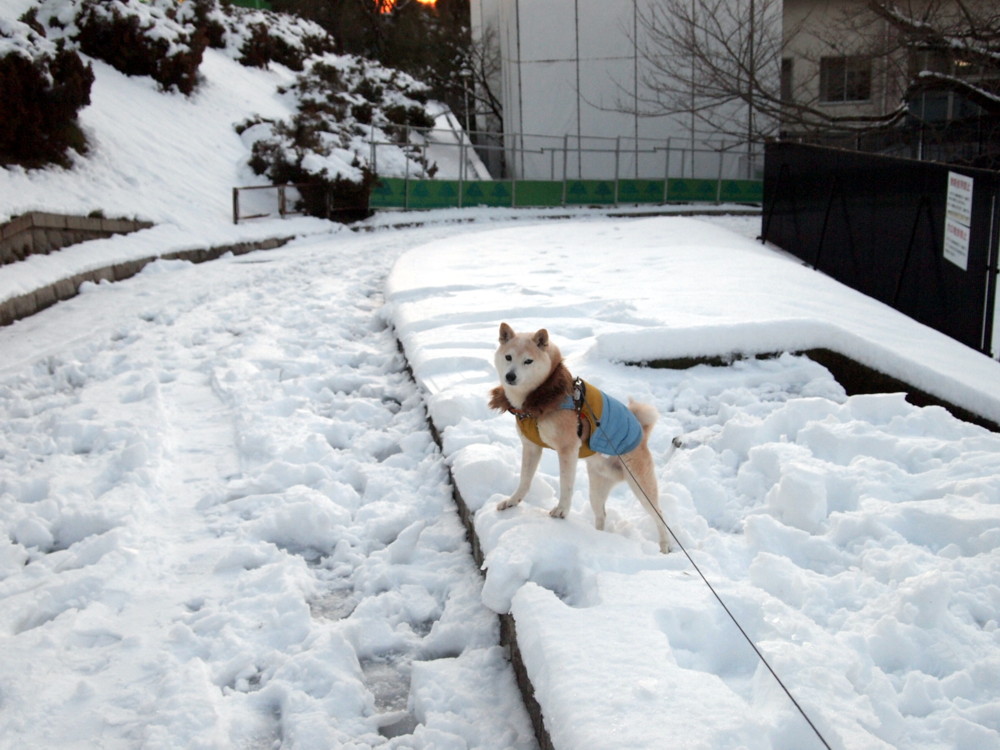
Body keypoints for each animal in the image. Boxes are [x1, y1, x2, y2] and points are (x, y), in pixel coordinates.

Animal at [490, 320, 676, 556]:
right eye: (508, 357)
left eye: (528, 361)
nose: (510, 376)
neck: (540, 399)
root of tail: (641, 434)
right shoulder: (531, 447)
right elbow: (524, 481)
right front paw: (512, 502)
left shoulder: (567, 449)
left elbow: (566, 485)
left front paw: (561, 511)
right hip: (597, 489)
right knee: (601, 514)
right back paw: (598, 537)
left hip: (641, 486)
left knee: (659, 514)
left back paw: (665, 546)